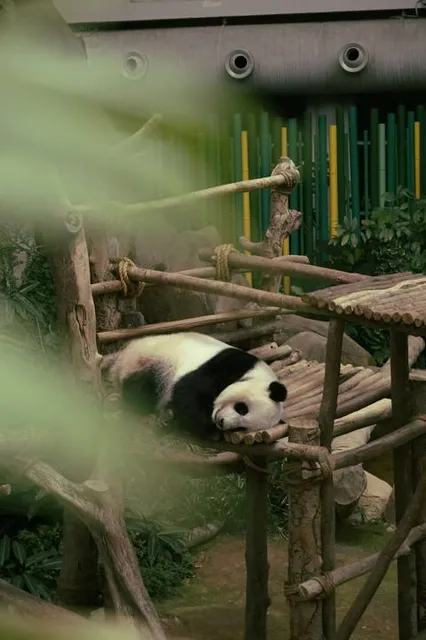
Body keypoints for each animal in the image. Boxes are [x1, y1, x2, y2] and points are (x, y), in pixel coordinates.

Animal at [101, 331, 287, 440]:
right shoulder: (223, 366)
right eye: (242, 408)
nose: (221, 422)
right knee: (142, 386)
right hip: (151, 361)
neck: (255, 373)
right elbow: (187, 395)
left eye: (242, 427)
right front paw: (209, 430)